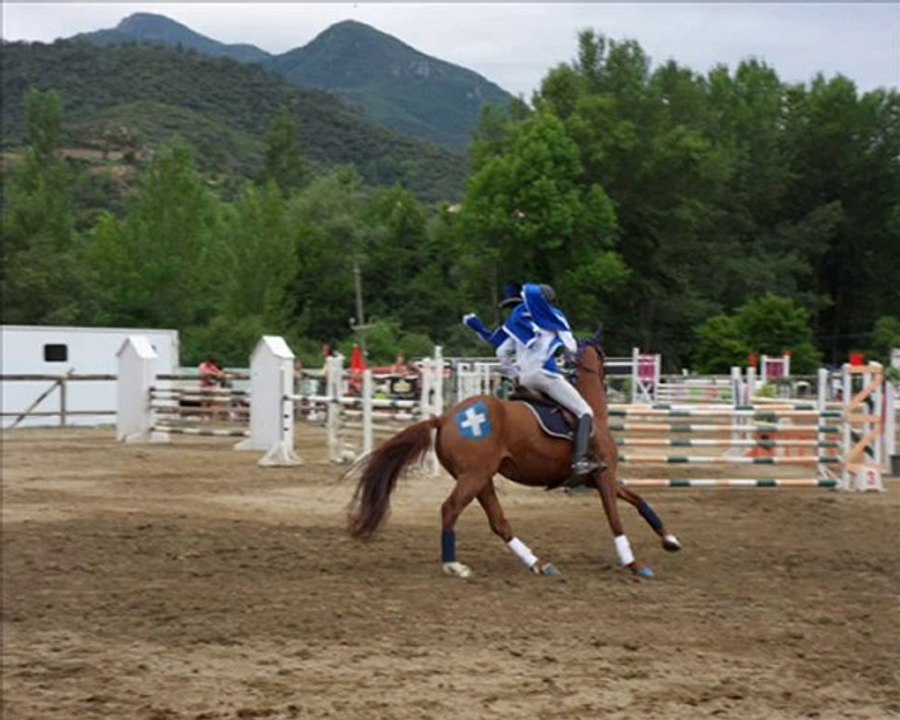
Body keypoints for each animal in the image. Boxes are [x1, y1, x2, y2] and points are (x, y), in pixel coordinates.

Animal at [346, 337, 681, 578]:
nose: (611, 381)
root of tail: (445, 417)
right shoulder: (603, 475)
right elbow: (615, 518)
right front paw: (634, 564)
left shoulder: (597, 478)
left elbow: (638, 500)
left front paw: (670, 540)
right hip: (474, 478)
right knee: (450, 510)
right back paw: (454, 566)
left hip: (481, 480)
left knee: (499, 522)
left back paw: (538, 564)